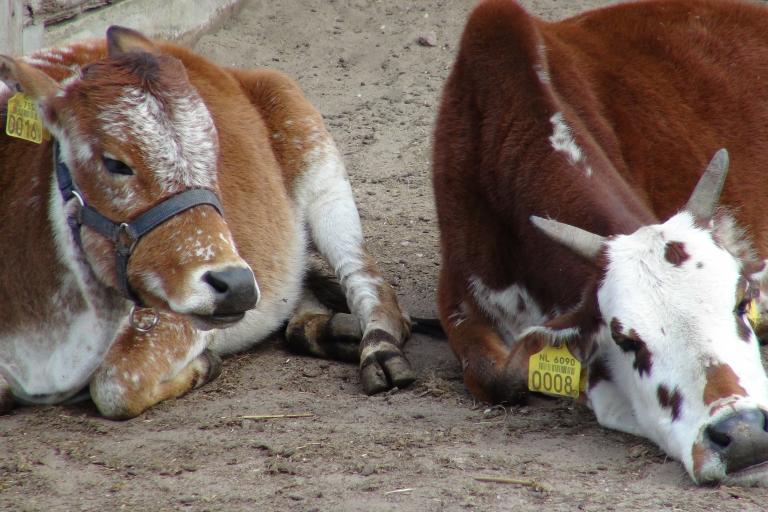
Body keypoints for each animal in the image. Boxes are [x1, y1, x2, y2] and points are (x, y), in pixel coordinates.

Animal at [1, 26, 414, 420]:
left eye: (213, 150)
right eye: (115, 162)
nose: (238, 285)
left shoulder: (176, 314)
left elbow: (114, 384)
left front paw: (206, 365)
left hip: (321, 173)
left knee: (370, 283)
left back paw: (378, 351)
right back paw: (332, 330)